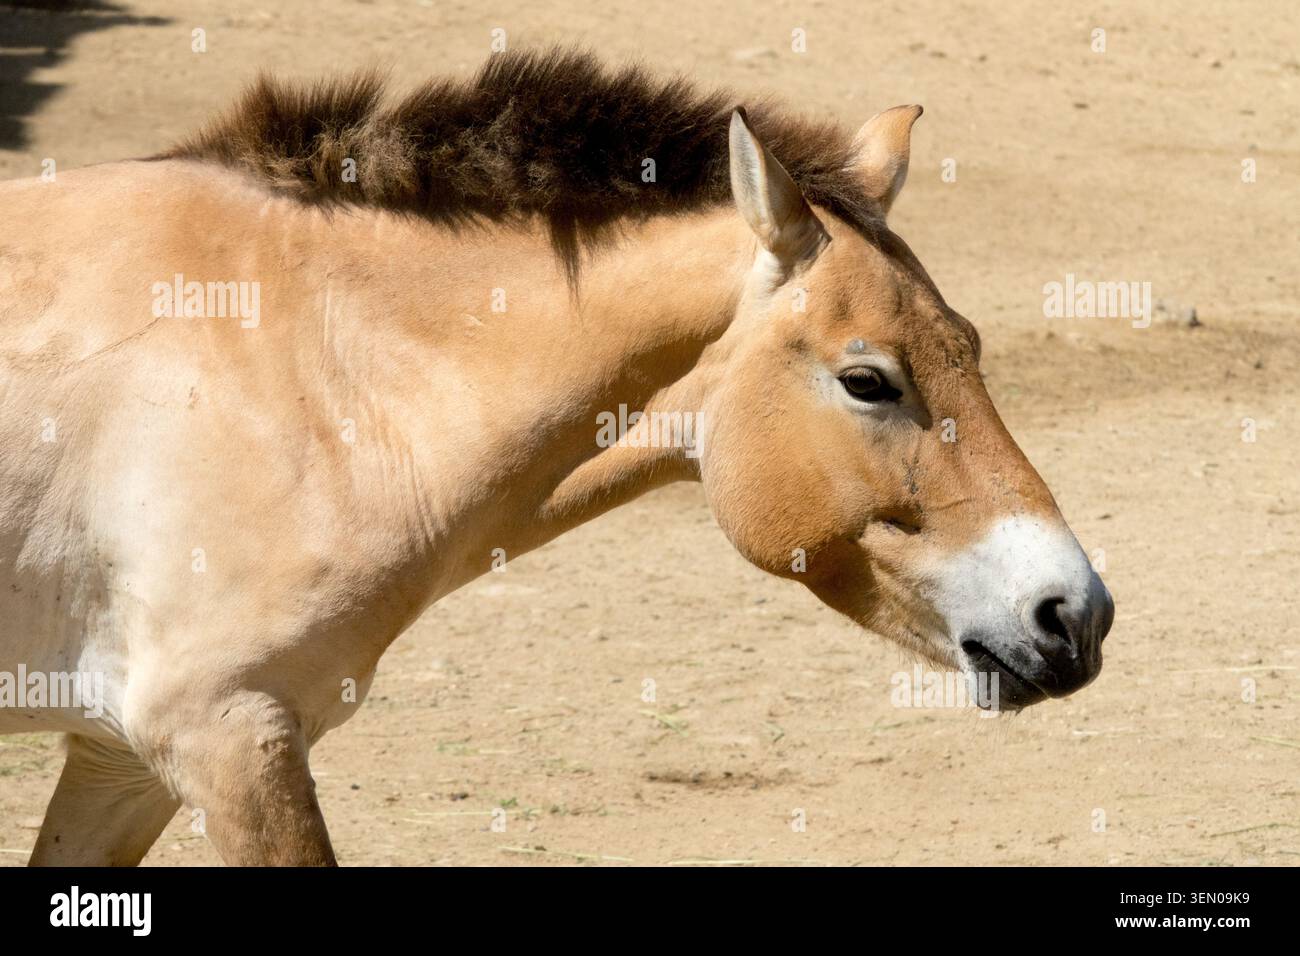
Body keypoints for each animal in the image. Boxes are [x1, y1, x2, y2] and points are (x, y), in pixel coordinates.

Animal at [0, 49, 1113, 865]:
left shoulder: (119, 761)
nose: (1072, 614)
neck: (300, 364)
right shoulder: (230, 742)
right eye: (869, 379)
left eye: (969, 341)